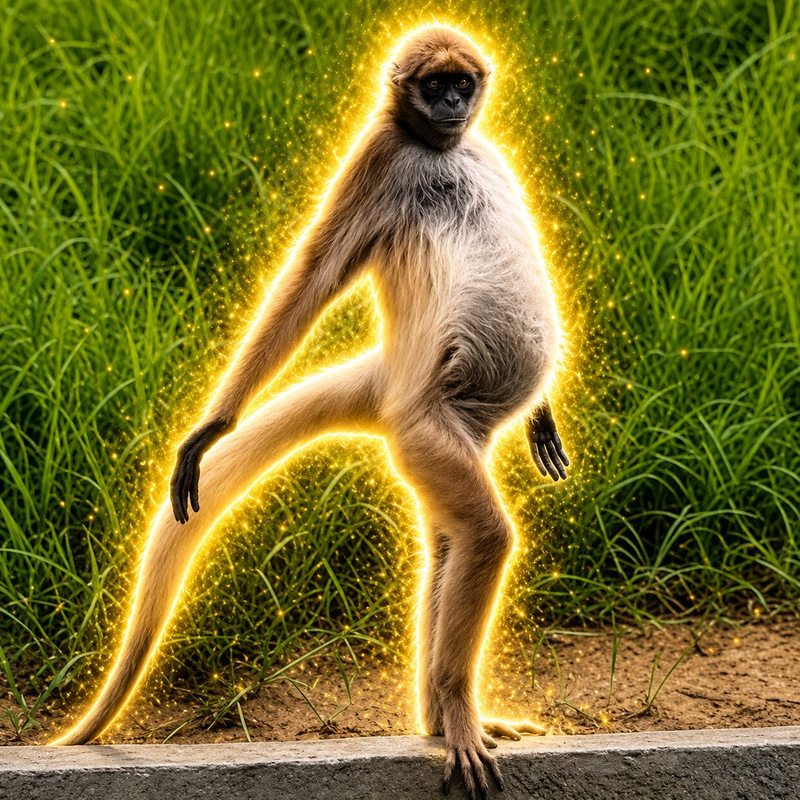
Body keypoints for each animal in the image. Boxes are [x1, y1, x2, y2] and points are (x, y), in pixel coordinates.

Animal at [52, 24, 570, 800]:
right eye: (434, 85)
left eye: (463, 84)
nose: (453, 105)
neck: (438, 149)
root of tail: (392, 379)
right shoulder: (380, 156)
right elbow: (311, 278)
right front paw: (211, 428)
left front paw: (543, 417)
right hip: (428, 429)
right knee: (482, 537)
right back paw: (453, 711)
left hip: (442, 439)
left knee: (451, 542)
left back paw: (439, 720)